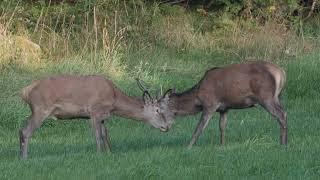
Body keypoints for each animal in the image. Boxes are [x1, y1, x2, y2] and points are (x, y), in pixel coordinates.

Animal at [19, 75, 170, 159]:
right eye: (157, 110)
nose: (166, 126)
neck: (114, 100)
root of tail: (25, 91)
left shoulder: (103, 116)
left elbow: (105, 134)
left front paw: (110, 153)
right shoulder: (94, 112)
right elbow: (97, 135)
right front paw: (99, 154)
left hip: (35, 110)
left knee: (21, 130)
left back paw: (20, 155)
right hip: (41, 109)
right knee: (26, 131)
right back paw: (25, 158)